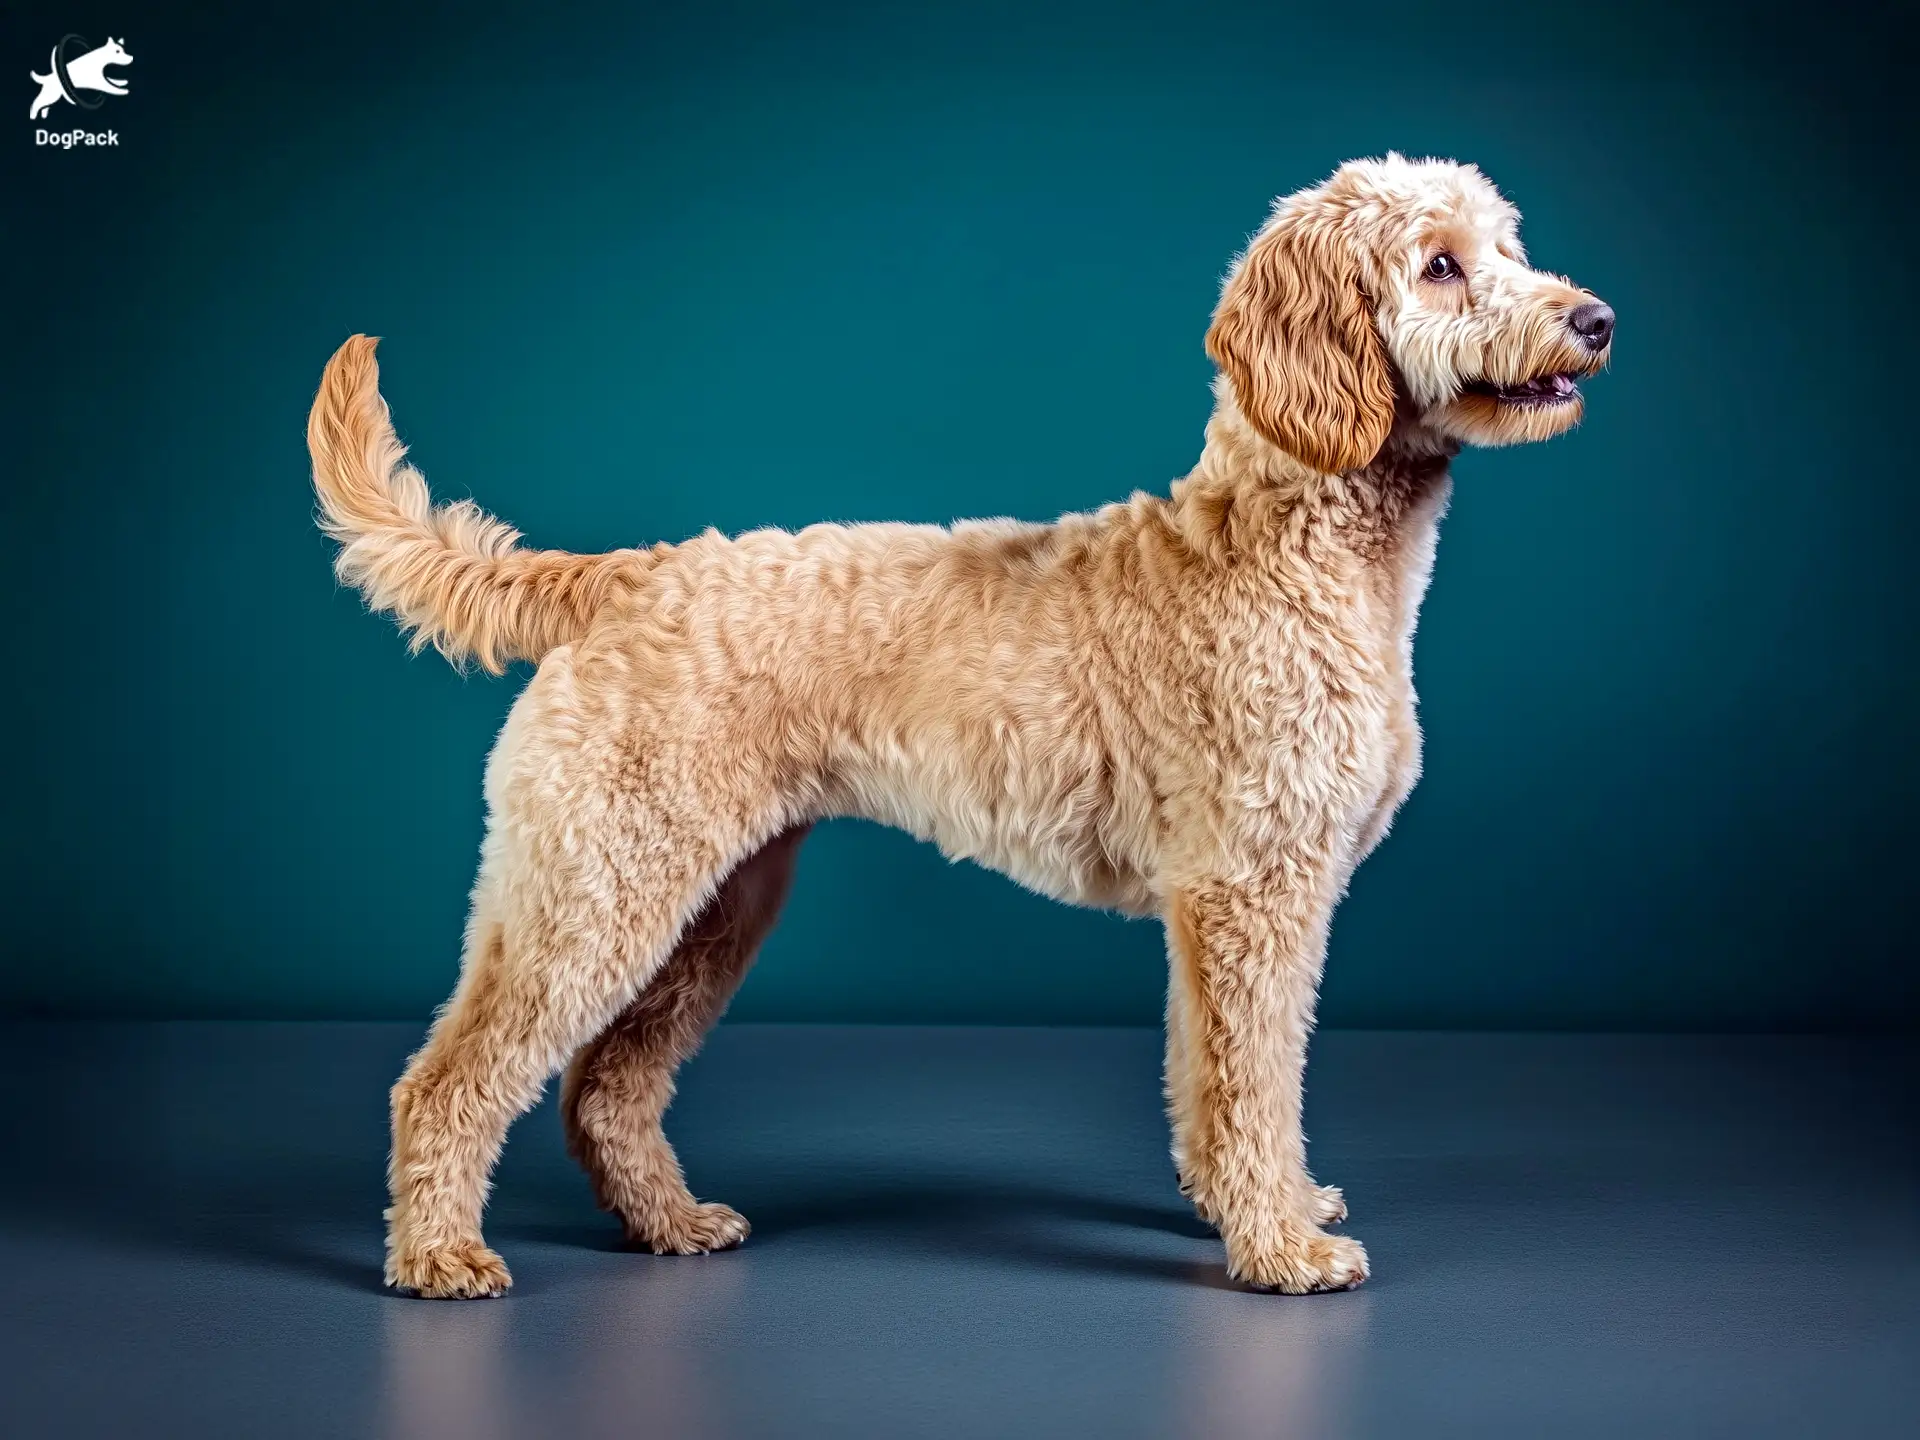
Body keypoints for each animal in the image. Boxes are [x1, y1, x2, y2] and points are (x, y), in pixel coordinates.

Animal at [307, 152, 1612, 1305]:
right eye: (1439, 264)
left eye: (1511, 247)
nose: (1595, 318)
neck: (1289, 535)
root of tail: (622, 576)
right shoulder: (1254, 890)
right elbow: (1256, 1079)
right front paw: (1283, 1249)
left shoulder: (1231, 905)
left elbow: (1216, 1079)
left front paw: (1263, 1205)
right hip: (597, 887)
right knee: (449, 1080)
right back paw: (439, 1257)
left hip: (709, 904)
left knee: (606, 1087)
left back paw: (670, 1223)